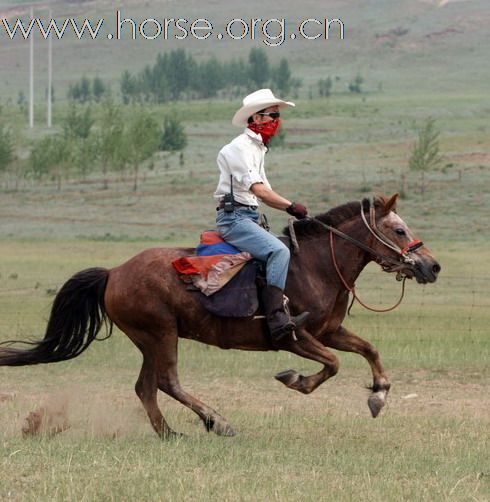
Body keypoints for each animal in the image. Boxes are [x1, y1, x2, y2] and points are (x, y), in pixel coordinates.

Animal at [0, 194, 440, 438]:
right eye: (399, 230)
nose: (431, 266)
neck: (316, 265)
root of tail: (114, 272)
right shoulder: (294, 337)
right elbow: (331, 365)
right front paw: (295, 380)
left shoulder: (329, 330)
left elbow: (368, 350)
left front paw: (378, 395)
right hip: (160, 334)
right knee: (166, 382)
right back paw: (218, 422)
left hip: (149, 340)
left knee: (146, 387)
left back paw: (170, 433)